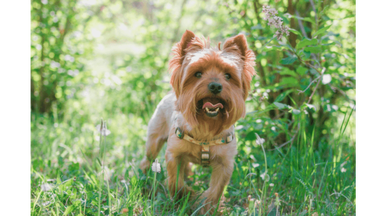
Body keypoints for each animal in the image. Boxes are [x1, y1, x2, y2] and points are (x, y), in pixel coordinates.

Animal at [139, 29, 256, 213]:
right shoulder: (174, 154)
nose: (215, 86)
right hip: (154, 139)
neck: (206, 128)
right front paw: (186, 196)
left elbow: (215, 191)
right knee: (148, 158)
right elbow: (175, 182)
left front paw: (207, 207)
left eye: (228, 76)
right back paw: (142, 177)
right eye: (198, 74)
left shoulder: (225, 164)